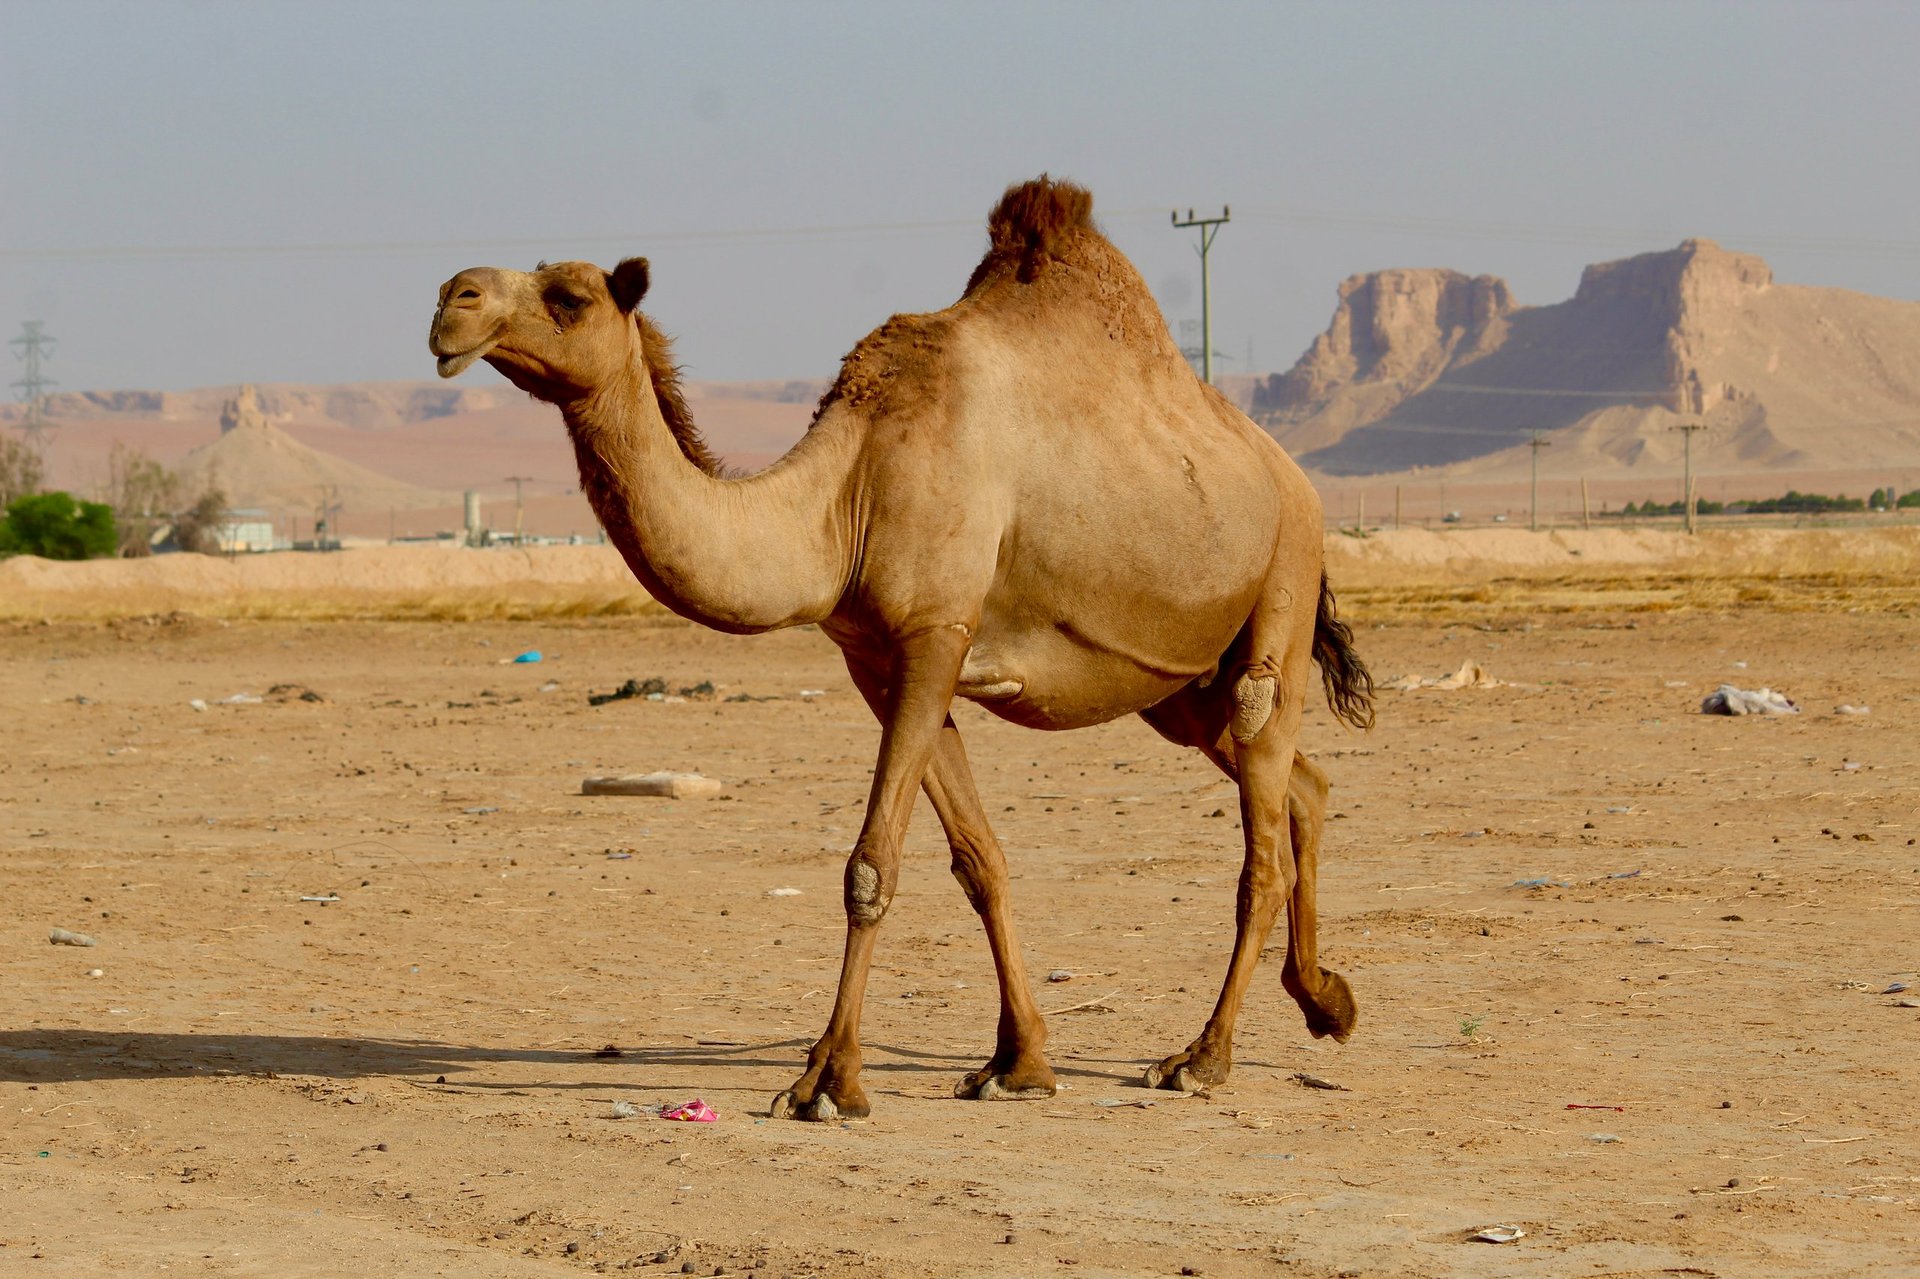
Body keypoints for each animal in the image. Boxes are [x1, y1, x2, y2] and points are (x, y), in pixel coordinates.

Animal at [428, 177, 1374, 1121]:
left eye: (569, 297)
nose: (451, 299)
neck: (844, 496)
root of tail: (1292, 476)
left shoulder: (934, 634)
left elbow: (870, 865)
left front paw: (828, 1080)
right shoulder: (881, 661)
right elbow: (979, 861)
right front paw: (1018, 1061)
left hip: (1283, 582)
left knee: (1261, 832)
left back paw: (1203, 1056)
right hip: (1178, 686)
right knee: (1305, 782)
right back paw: (1326, 999)